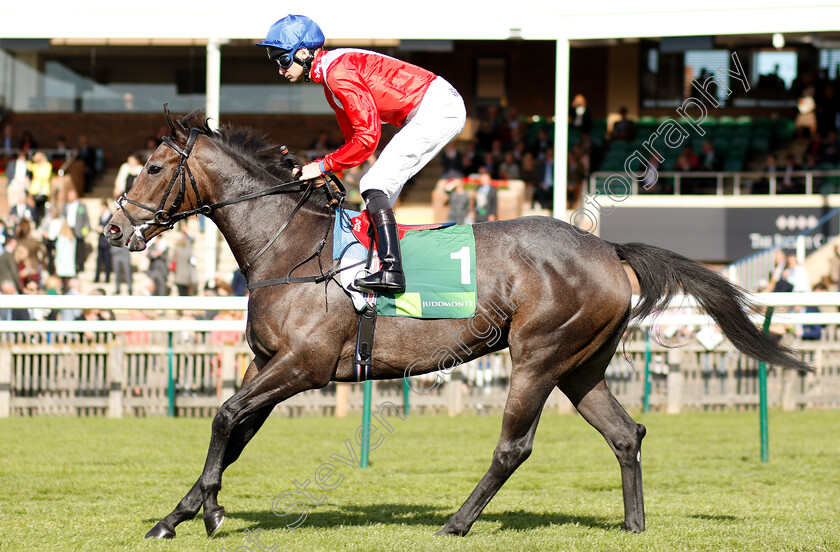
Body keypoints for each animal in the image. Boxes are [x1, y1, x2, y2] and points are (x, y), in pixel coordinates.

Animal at [103, 108, 808, 540]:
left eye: (154, 168)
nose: (111, 229)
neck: (290, 246)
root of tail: (607, 248)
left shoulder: (304, 366)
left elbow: (225, 416)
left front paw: (210, 511)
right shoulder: (268, 362)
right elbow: (235, 431)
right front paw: (178, 515)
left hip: (538, 356)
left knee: (514, 446)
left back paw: (456, 522)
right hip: (580, 365)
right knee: (624, 433)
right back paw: (633, 525)